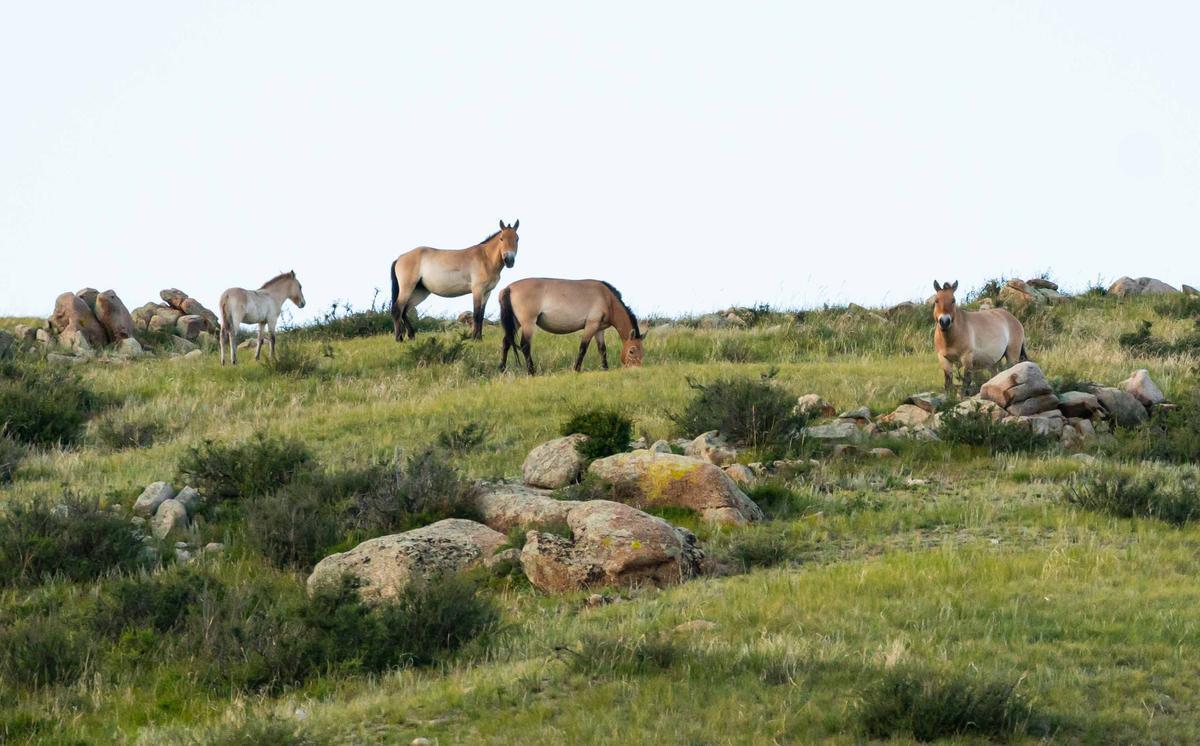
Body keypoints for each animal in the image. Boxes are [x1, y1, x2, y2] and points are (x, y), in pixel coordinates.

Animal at [389, 220, 519, 342]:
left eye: (517, 238)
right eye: (502, 239)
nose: (509, 260)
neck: (485, 258)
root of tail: (400, 258)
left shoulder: (487, 292)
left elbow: (481, 315)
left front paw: (479, 338)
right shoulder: (477, 290)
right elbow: (476, 314)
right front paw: (474, 339)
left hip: (420, 292)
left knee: (404, 311)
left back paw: (411, 336)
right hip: (407, 288)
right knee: (397, 309)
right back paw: (399, 339)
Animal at [498, 278, 645, 375]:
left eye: (642, 351)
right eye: (632, 351)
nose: (637, 369)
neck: (607, 298)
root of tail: (509, 287)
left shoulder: (599, 330)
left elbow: (602, 349)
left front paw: (605, 368)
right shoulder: (591, 325)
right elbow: (583, 348)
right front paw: (576, 369)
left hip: (516, 323)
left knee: (506, 342)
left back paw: (502, 369)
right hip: (528, 324)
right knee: (524, 345)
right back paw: (531, 372)